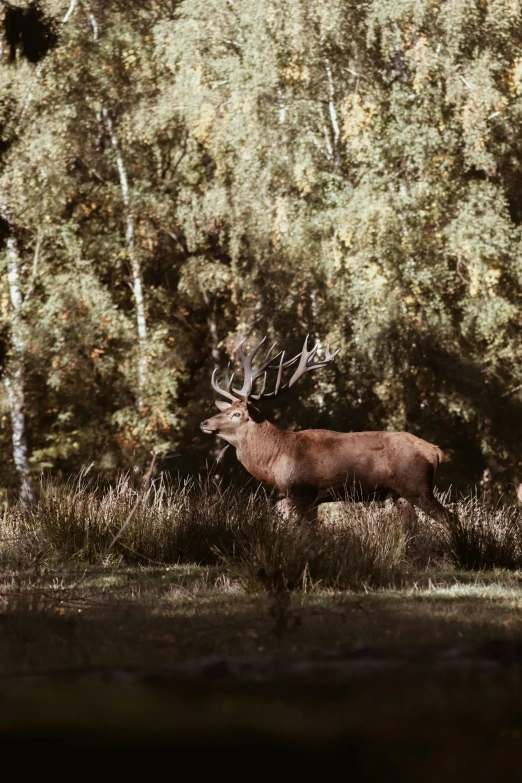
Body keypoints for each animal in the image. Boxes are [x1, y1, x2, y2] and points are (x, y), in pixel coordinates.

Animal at [199, 334, 450, 524]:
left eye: (237, 414)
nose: (204, 423)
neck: (275, 460)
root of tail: (435, 451)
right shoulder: (293, 498)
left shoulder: (303, 493)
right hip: (400, 494)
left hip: (417, 486)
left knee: (449, 518)